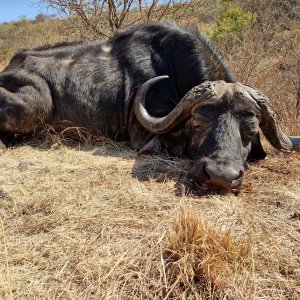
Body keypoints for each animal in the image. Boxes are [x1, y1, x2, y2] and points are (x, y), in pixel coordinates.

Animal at [0, 22, 300, 190]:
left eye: (250, 130)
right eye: (198, 124)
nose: (220, 176)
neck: (174, 69)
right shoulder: (141, 135)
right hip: (37, 104)